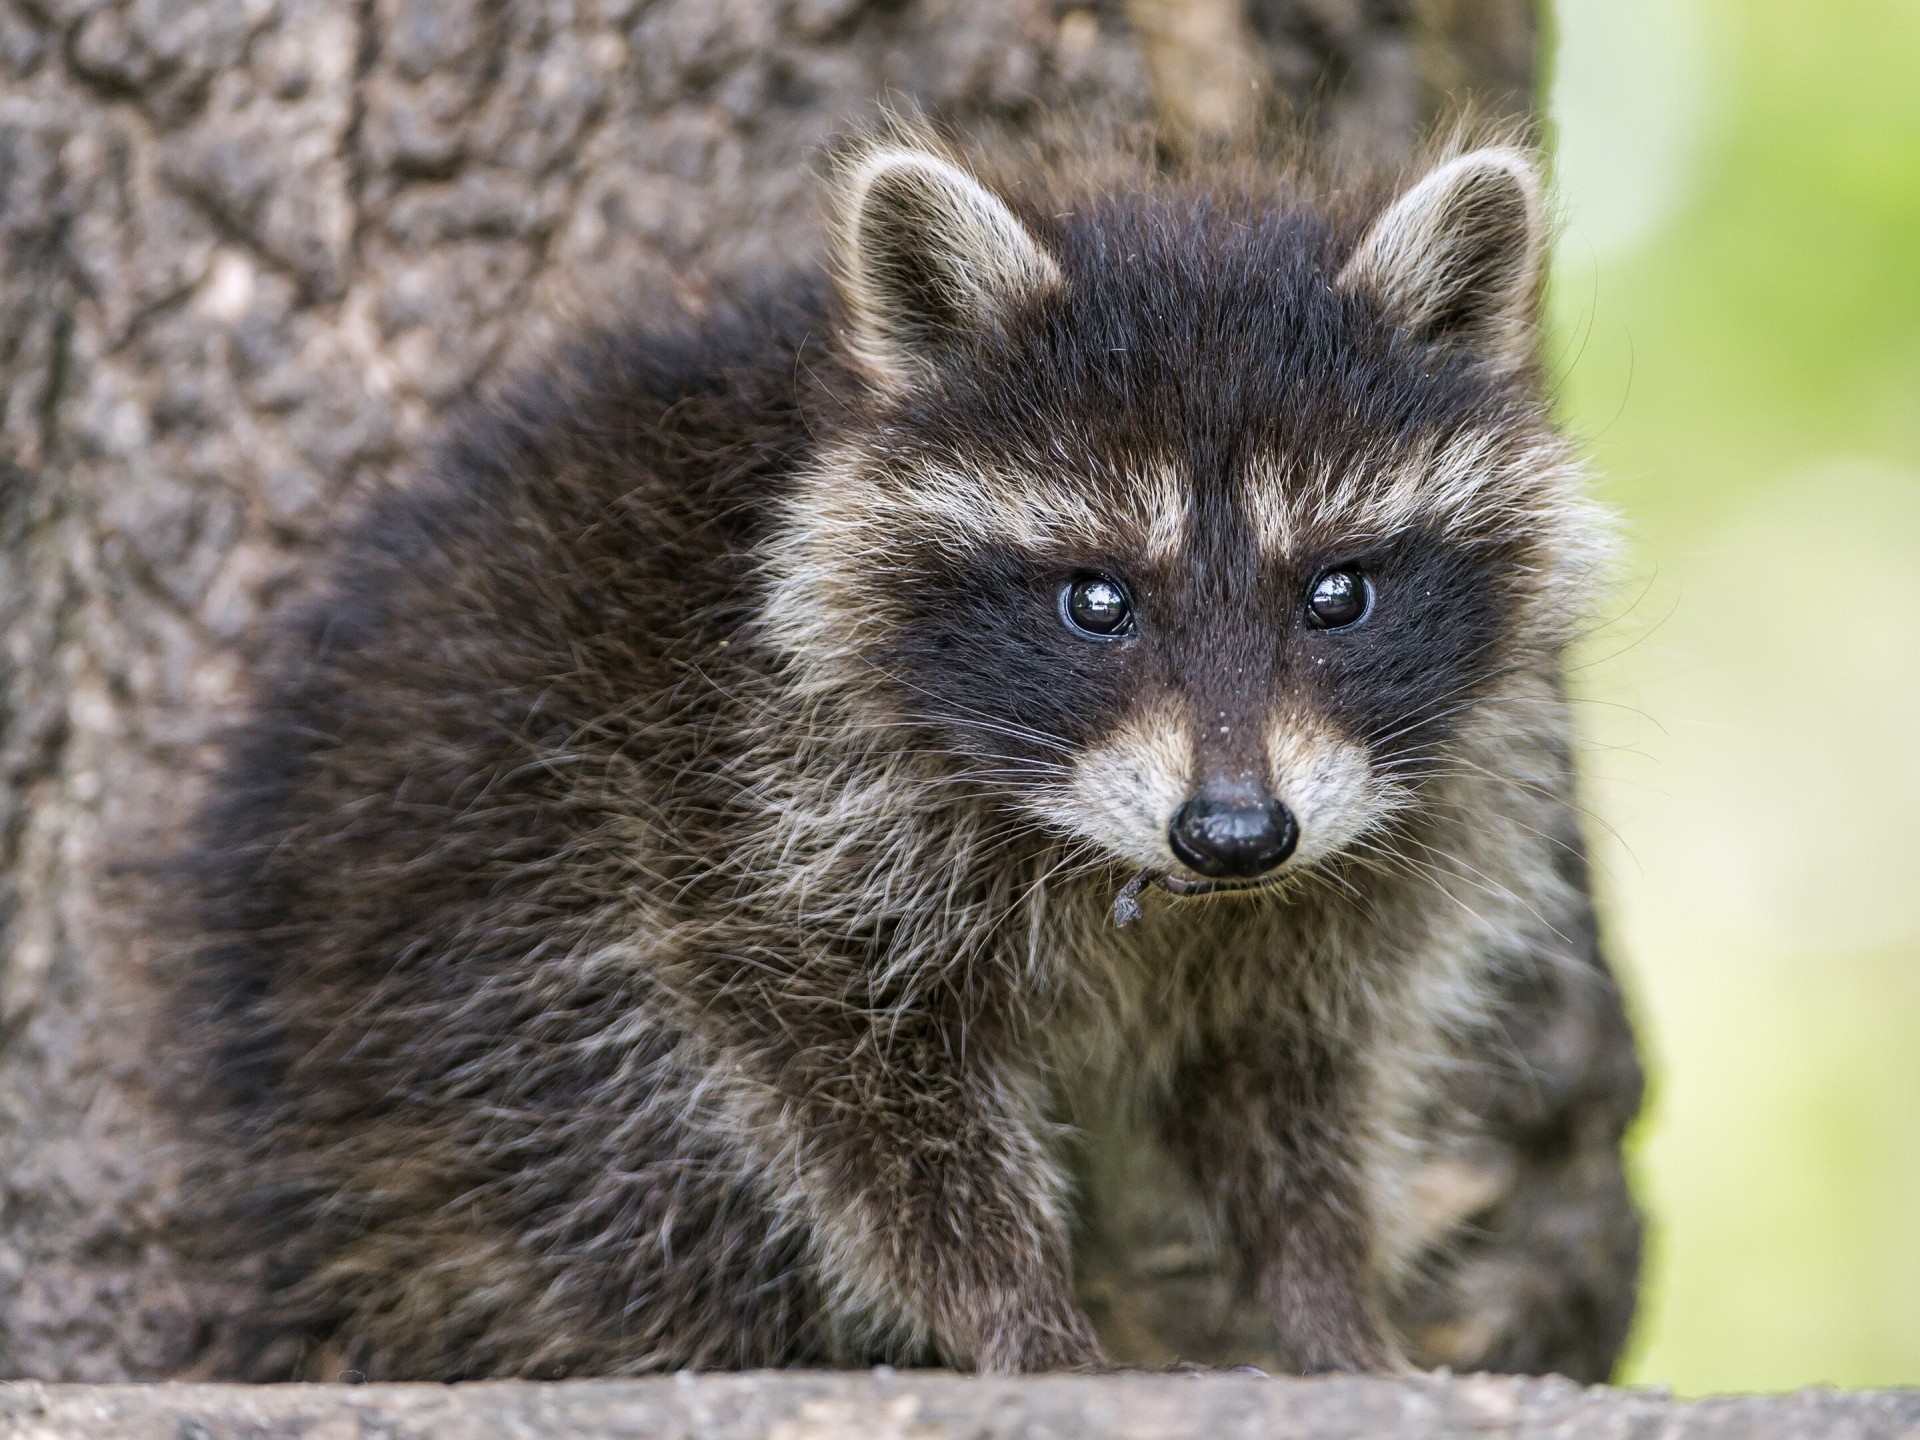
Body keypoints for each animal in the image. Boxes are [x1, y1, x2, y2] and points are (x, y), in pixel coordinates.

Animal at [181, 127, 1623, 1380]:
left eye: (1338, 593)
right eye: (1095, 599)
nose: (1233, 833)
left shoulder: (1353, 863)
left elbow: (1288, 1082)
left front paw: (1331, 1304)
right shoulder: (749, 791)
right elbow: (861, 1095)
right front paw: (1018, 1311)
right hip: (477, 913)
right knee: (617, 1138)